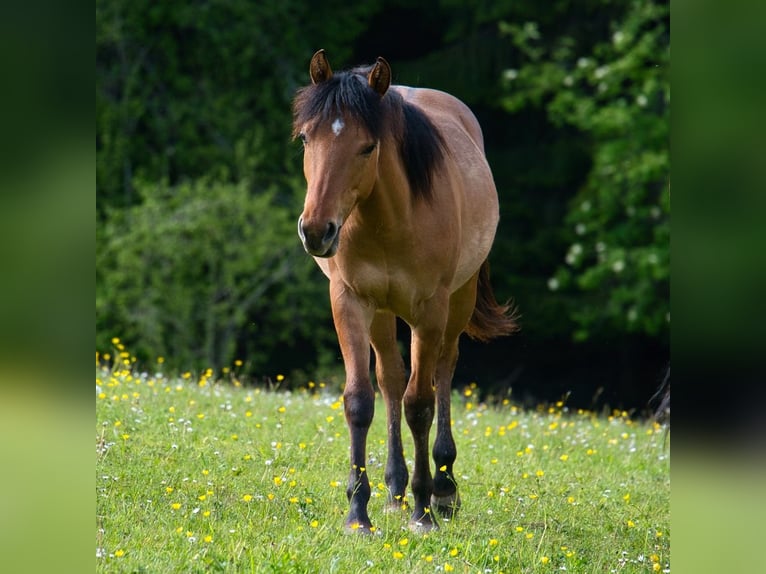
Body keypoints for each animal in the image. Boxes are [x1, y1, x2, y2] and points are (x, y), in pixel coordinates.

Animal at [292, 49, 518, 533]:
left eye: (367, 146)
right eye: (305, 139)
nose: (317, 230)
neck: (389, 218)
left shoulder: (429, 311)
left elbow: (420, 404)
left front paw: (424, 509)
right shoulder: (350, 301)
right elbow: (360, 400)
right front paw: (358, 512)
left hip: (457, 302)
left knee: (442, 372)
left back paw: (443, 487)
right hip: (381, 313)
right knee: (391, 379)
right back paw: (395, 489)